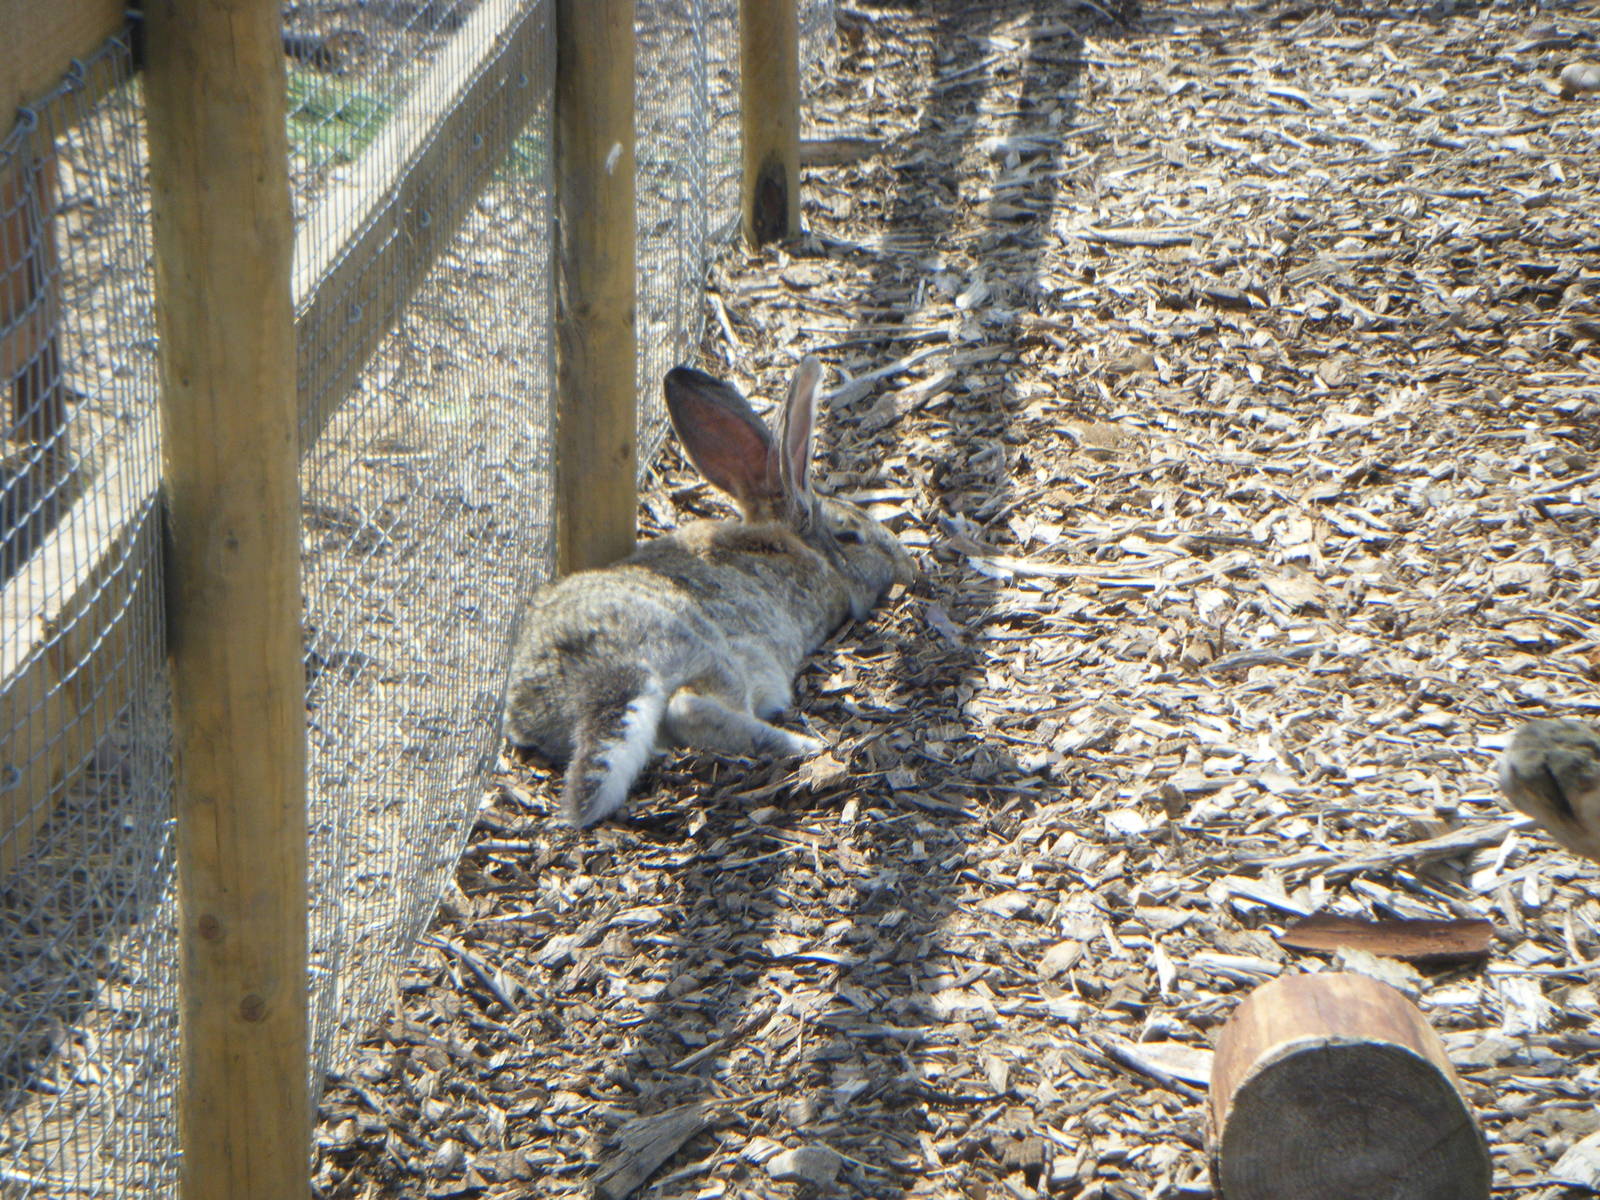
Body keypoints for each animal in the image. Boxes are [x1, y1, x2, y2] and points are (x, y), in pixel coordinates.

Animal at [503, 356, 915, 827]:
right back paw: (803, 745)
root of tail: (592, 676)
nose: (908, 567)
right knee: (688, 709)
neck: (799, 548)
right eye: (850, 536)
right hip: (712, 658)